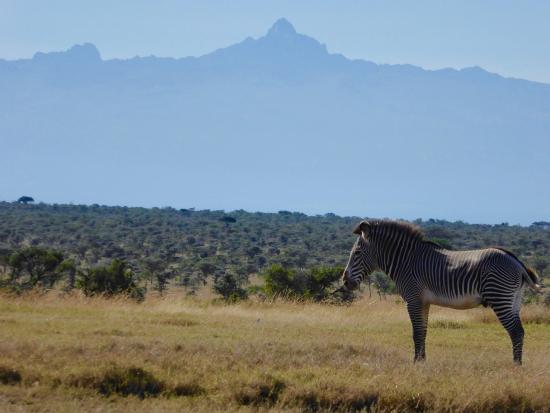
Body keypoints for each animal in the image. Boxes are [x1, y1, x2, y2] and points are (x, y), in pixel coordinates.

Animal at [344, 219, 544, 364]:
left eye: (357, 253)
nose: (345, 281)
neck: (406, 261)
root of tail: (516, 262)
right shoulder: (423, 301)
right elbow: (423, 331)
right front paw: (422, 361)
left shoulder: (413, 299)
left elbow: (416, 332)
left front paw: (416, 362)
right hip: (514, 300)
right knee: (520, 331)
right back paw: (518, 364)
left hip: (500, 297)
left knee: (515, 332)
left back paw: (515, 366)